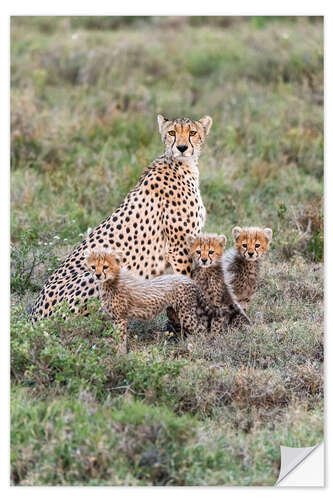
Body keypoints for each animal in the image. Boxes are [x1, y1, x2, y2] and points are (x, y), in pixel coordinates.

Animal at [29, 114, 211, 320]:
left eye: (192, 132)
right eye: (172, 132)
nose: (181, 148)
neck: (181, 165)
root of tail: (33, 316)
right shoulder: (178, 247)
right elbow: (186, 281)